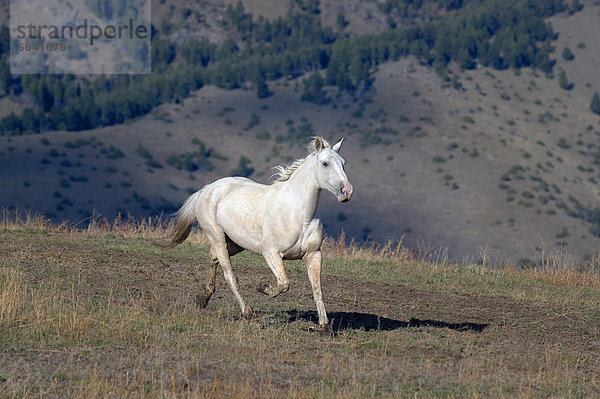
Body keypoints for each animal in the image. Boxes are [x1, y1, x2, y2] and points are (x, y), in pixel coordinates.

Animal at [166, 137, 354, 332]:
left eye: (343, 163)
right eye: (325, 163)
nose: (346, 191)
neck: (298, 214)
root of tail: (207, 189)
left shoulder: (313, 255)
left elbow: (317, 290)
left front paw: (325, 327)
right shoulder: (271, 253)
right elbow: (284, 284)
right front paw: (263, 287)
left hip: (235, 243)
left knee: (213, 257)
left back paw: (203, 298)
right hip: (216, 236)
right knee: (230, 275)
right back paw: (247, 313)